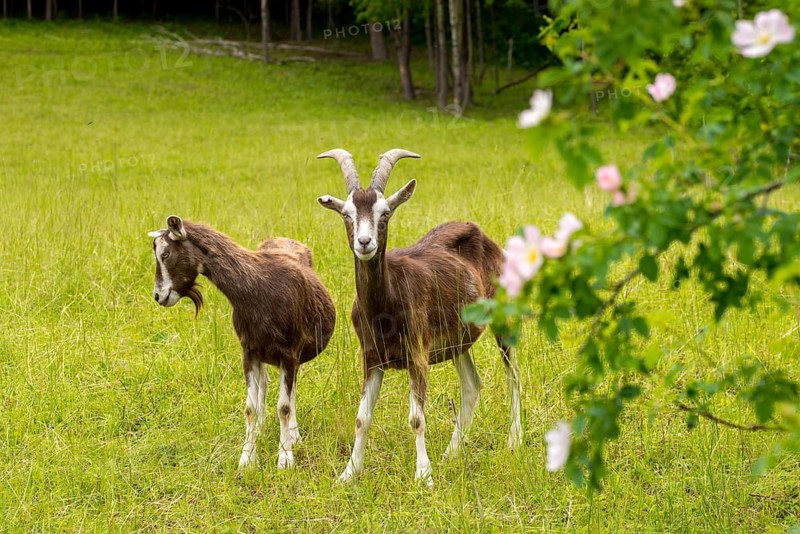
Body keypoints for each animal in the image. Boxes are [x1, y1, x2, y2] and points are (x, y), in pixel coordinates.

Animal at [148, 216, 336, 470]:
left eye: (166, 254)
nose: (159, 296)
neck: (257, 289)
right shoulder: (249, 352)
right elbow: (250, 408)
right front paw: (247, 458)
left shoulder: (289, 353)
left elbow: (284, 407)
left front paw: (285, 457)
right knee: (265, 385)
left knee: (292, 391)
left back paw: (293, 434)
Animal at [317, 149, 522, 486]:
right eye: (346, 214)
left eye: (385, 213)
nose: (364, 243)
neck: (384, 307)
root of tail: (483, 236)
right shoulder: (371, 358)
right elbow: (361, 418)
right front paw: (348, 474)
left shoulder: (418, 355)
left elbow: (416, 418)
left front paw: (424, 475)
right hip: (457, 341)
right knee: (471, 385)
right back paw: (452, 452)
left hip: (504, 317)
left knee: (513, 374)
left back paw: (514, 440)